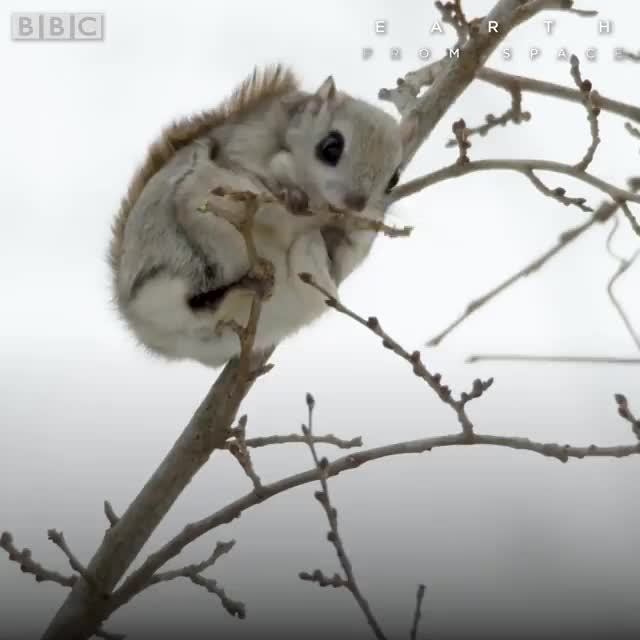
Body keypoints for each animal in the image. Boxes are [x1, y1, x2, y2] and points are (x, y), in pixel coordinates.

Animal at [109, 65, 417, 368]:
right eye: (331, 147)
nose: (356, 203)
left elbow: (347, 253)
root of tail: (135, 319)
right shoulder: (245, 147)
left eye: (394, 179)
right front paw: (291, 190)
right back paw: (246, 282)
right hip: (195, 223)